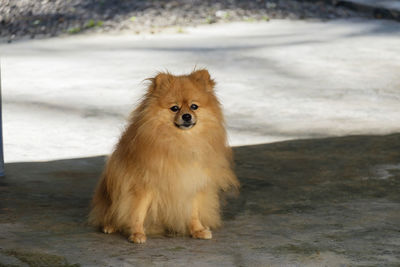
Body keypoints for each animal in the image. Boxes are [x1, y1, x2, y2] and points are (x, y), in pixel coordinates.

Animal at [89, 69, 239, 245]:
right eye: (174, 108)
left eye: (194, 106)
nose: (187, 116)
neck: (181, 142)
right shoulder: (143, 185)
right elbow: (137, 211)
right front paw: (137, 233)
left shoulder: (192, 182)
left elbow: (193, 211)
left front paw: (197, 230)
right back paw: (110, 225)